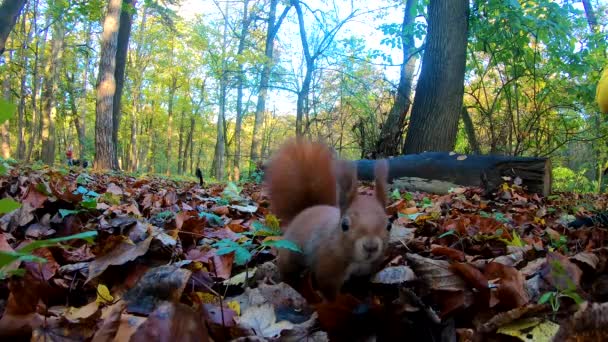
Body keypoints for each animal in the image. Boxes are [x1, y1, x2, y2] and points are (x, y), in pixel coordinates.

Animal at [264, 138, 390, 300]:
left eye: (389, 225)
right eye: (344, 225)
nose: (371, 247)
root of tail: (306, 210)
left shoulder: (366, 272)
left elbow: (361, 287)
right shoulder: (328, 269)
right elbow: (330, 292)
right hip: (290, 254)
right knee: (287, 270)